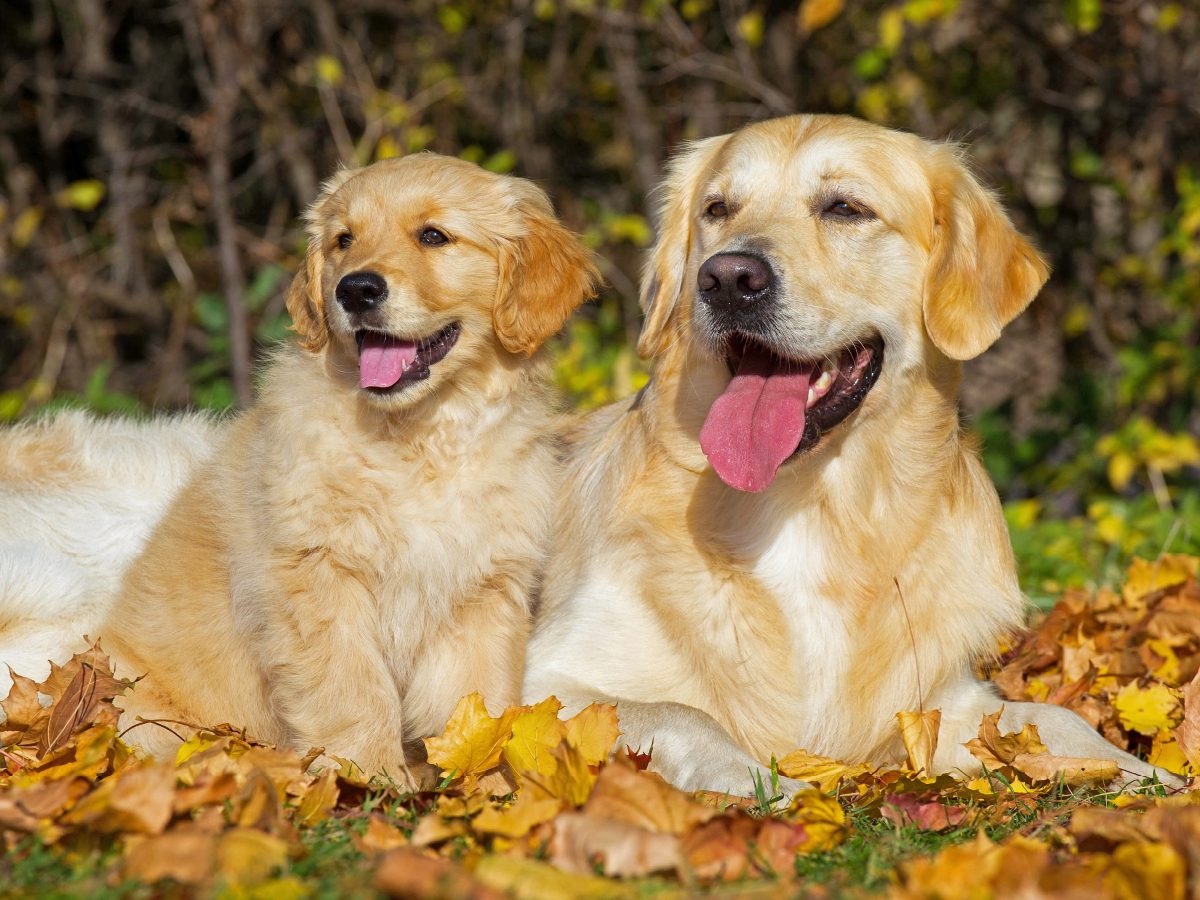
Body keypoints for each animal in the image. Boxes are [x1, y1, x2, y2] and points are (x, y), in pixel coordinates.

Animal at [100, 154, 597, 782]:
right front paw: (370, 777)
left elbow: (476, 698)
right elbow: (353, 688)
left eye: (433, 236)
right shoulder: (319, 576)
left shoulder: (483, 588)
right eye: (344, 240)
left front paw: (481, 783)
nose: (355, 288)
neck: (417, 440)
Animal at [528, 112, 1180, 796]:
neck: (810, 506)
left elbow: (1058, 719)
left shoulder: (940, 703)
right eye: (717, 208)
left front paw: (1148, 774)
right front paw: (759, 782)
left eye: (844, 208)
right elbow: (682, 711)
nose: (726, 278)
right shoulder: (543, 685)